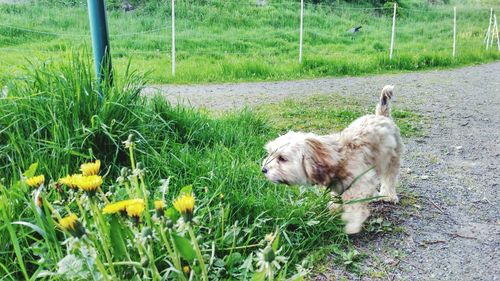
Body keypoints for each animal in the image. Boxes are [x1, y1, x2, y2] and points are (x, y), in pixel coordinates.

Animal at [262, 84, 402, 233]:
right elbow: (337, 198)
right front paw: (334, 209)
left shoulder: (362, 182)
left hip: (392, 160)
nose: (263, 169)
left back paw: (388, 195)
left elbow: (354, 204)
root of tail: (381, 115)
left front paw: (352, 224)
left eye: (282, 158)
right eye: (270, 153)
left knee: (389, 179)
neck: (338, 157)